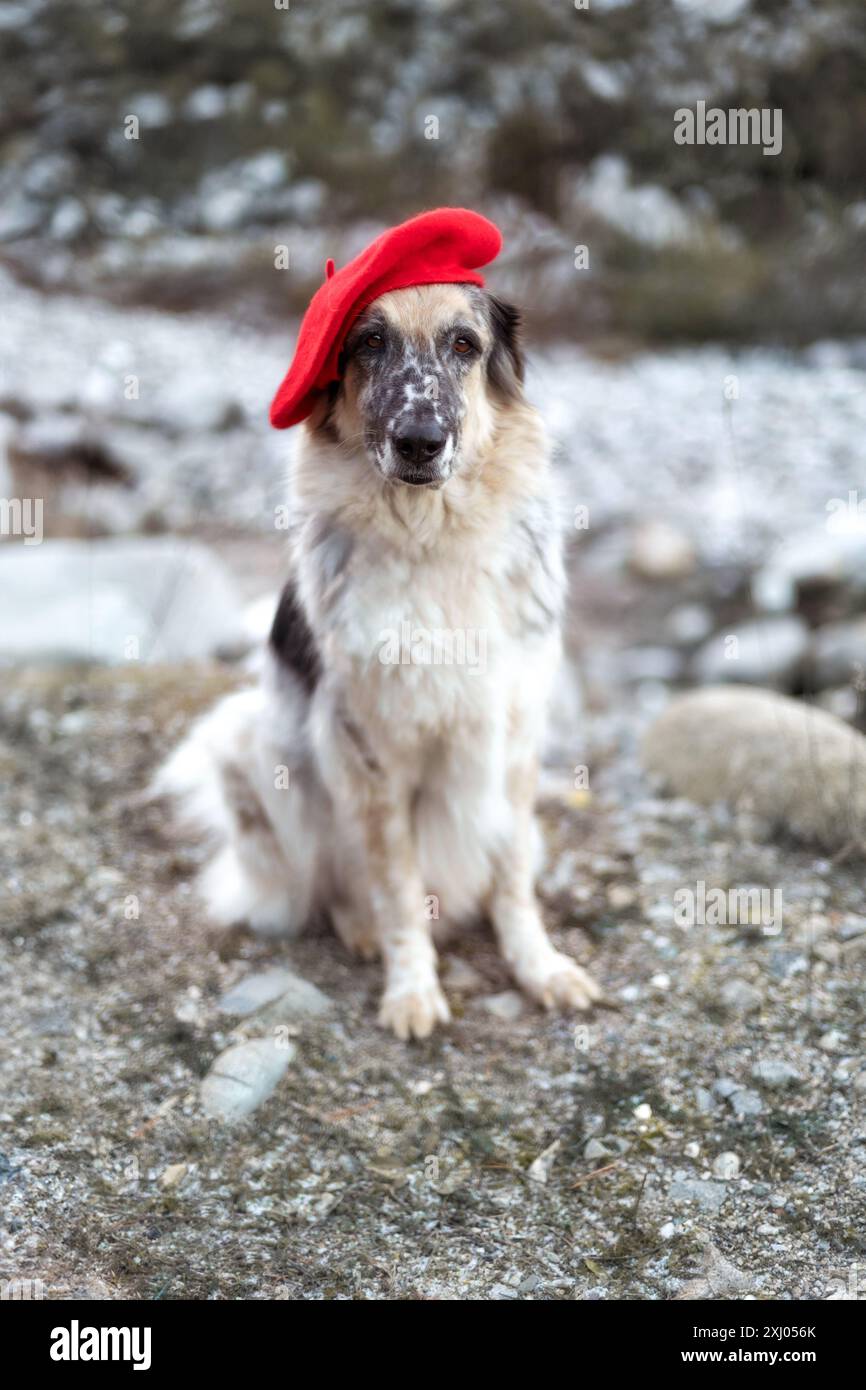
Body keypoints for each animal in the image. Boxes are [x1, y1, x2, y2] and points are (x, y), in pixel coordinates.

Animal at [157, 282, 603, 1039]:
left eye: (464, 344)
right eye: (369, 343)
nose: (420, 442)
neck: (433, 538)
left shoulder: (513, 740)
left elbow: (512, 873)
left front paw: (539, 966)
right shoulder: (372, 758)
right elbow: (395, 887)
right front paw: (411, 988)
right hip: (251, 746)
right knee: (326, 883)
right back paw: (359, 928)